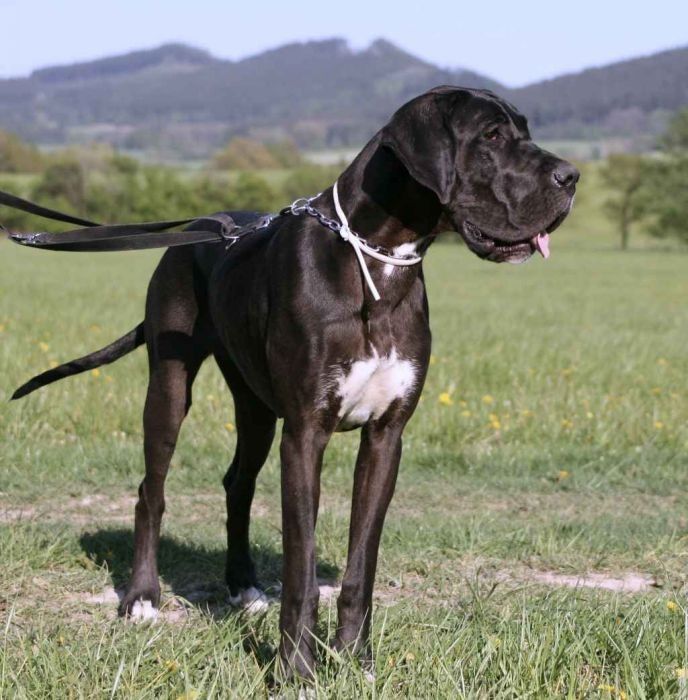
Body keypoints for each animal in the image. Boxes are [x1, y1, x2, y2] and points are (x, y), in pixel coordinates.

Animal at [13, 86, 578, 678]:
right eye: (490, 135)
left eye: (525, 130)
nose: (572, 176)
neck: (375, 260)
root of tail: (194, 230)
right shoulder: (306, 434)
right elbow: (302, 573)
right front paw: (296, 671)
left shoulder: (386, 437)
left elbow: (360, 567)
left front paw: (355, 661)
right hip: (169, 386)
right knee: (152, 490)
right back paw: (143, 598)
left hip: (256, 408)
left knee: (236, 483)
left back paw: (242, 586)